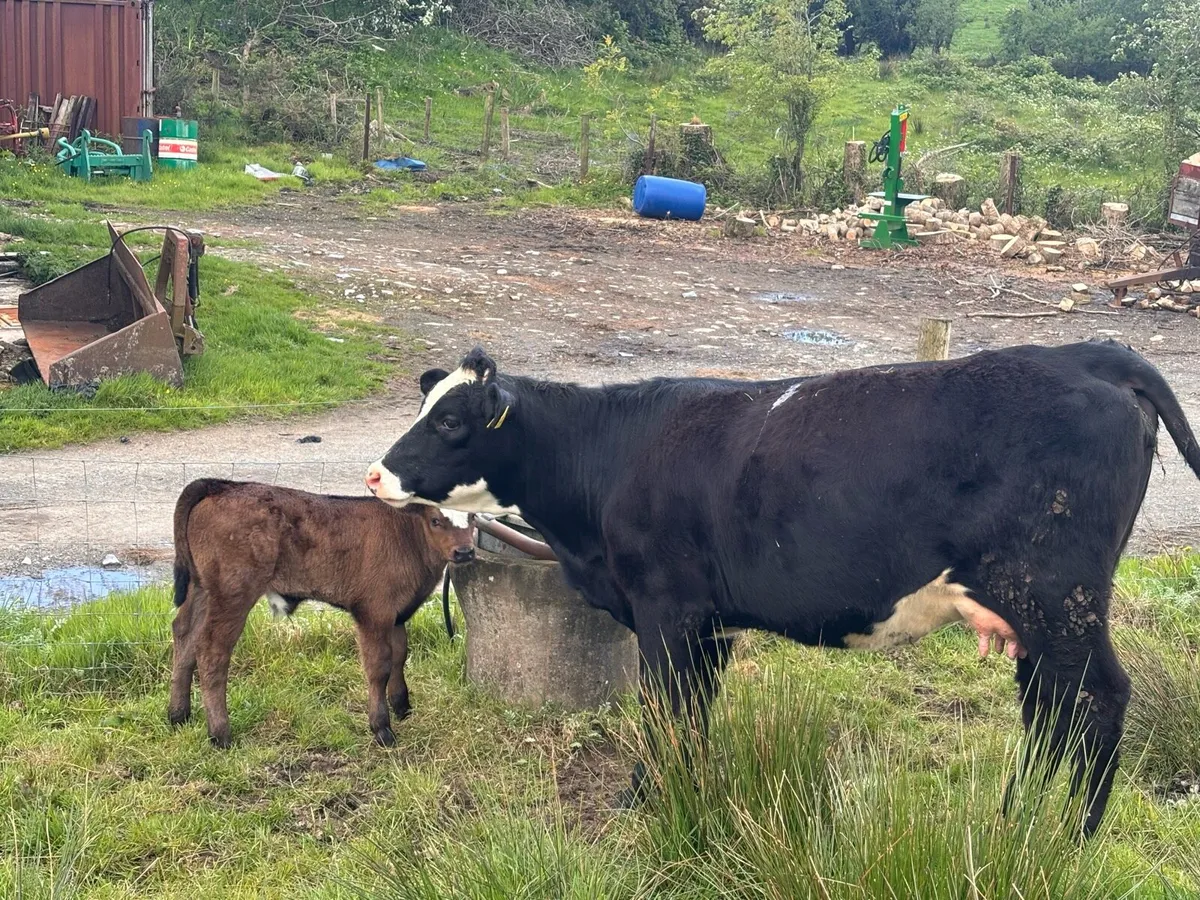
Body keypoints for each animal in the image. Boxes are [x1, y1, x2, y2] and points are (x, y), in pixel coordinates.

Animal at [364, 341, 1200, 836]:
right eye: (425, 408)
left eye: (451, 423)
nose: (372, 474)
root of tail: (1084, 354)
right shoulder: (707, 625)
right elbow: (692, 716)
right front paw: (683, 796)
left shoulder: (666, 611)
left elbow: (661, 713)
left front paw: (640, 805)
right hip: (1033, 611)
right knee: (1052, 708)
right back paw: (1020, 815)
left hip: (1059, 597)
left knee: (1098, 701)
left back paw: (1067, 835)